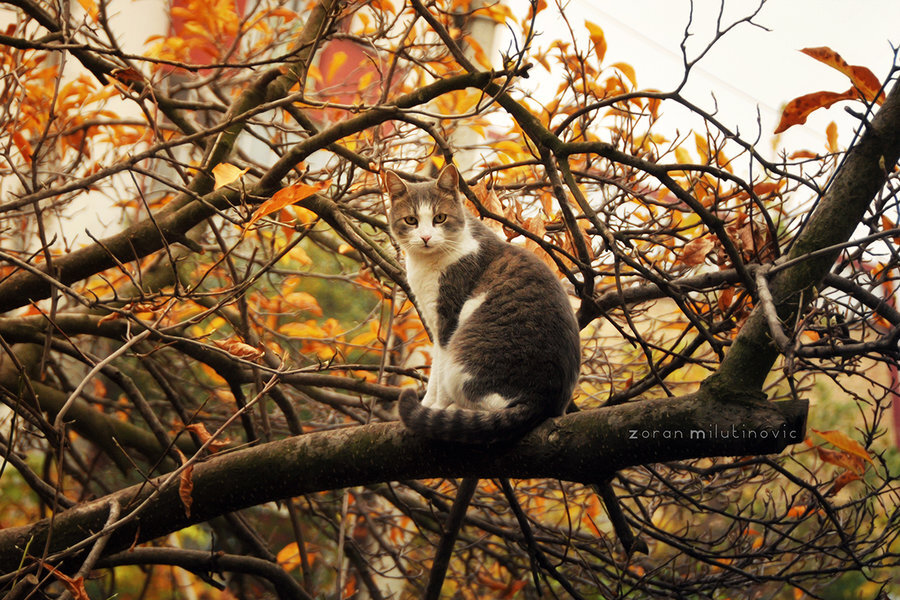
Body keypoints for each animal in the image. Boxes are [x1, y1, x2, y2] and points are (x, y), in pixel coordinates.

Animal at [384, 166, 580, 442]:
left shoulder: (447, 318)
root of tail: (542, 400)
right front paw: (428, 404)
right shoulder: (433, 320)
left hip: (465, 356)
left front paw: (434, 407)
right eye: (411, 220)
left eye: (440, 218)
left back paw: (456, 409)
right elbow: (434, 374)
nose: (425, 237)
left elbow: (438, 374)